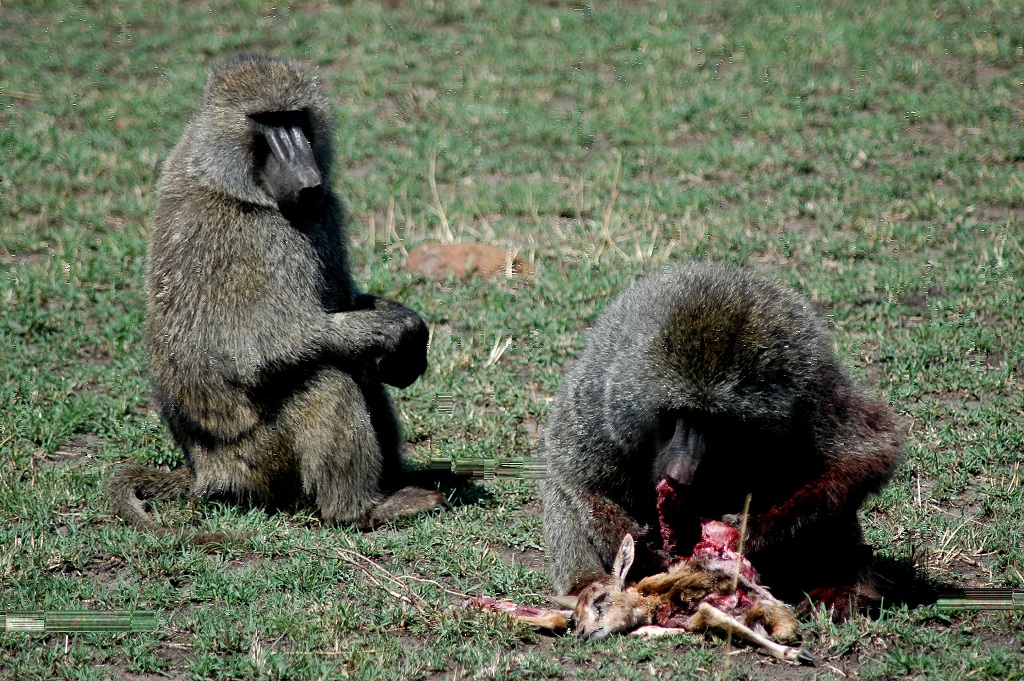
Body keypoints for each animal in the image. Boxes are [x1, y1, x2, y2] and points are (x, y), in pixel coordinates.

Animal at [108, 53, 448, 532]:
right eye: (267, 121)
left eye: (296, 117)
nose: (308, 180)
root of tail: (204, 470)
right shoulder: (262, 240)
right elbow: (260, 350)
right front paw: (397, 329)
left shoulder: (324, 214)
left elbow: (343, 304)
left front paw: (411, 330)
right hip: (259, 459)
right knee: (326, 379)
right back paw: (361, 509)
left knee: (355, 368)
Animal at [540, 261, 903, 619]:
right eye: (675, 416)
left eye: (715, 423)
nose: (680, 472)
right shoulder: (601, 399)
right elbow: (571, 474)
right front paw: (635, 545)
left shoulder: (813, 392)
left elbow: (866, 455)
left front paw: (753, 531)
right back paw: (587, 586)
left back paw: (842, 588)